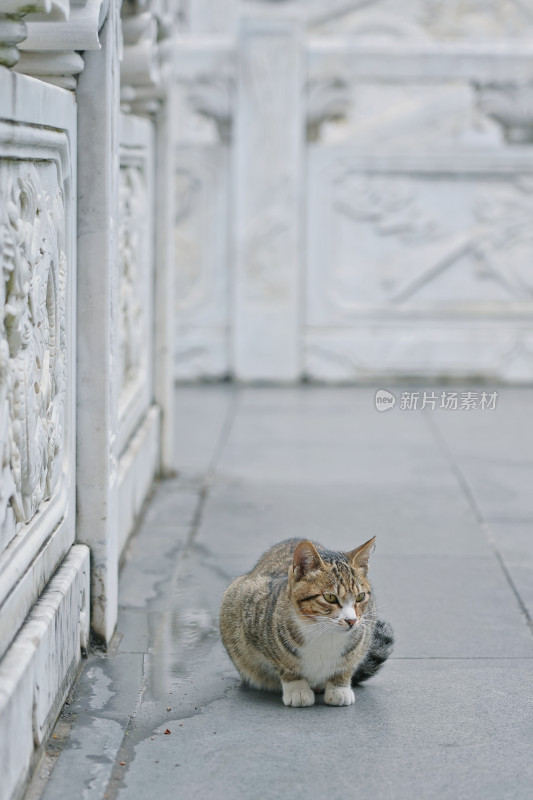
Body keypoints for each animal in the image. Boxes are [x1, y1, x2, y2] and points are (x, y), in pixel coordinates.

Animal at [218, 536, 392, 708]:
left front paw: (339, 687)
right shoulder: (250, 606)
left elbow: (347, 664)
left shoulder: (365, 630)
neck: (323, 633)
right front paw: (298, 690)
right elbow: (285, 664)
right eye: (330, 597)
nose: (351, 620)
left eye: (360, 597)